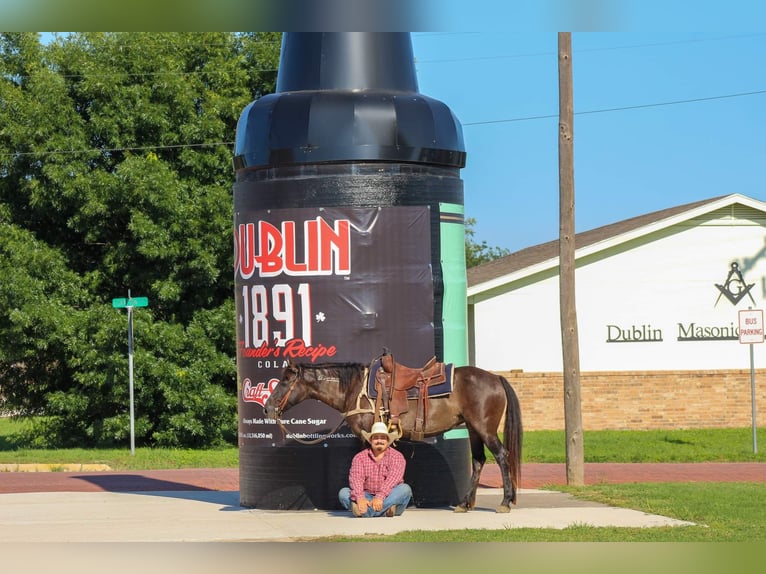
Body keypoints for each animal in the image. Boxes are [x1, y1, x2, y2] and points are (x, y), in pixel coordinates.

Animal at [262, 362, 520, 516]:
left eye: (285, 380)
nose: (267, 409)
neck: (355, 389)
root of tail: (495, 378)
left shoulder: (368, 434)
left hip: (484, 429)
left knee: (501, 456)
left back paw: (505, 502)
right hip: (474, 430)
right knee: (478, 461)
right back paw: (464, 504)